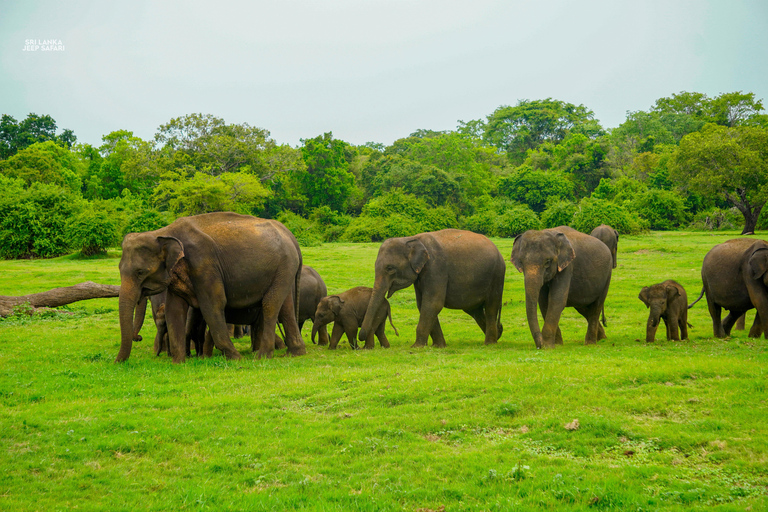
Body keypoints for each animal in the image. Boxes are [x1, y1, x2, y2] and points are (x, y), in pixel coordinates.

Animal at [115, 212, 304, 364]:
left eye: (140, 272)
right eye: (119, 269)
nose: (117, 363)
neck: (163, 232)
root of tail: (291, 236)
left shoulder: (204, 264)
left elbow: (213, 305)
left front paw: (236, 358)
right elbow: (174, 310)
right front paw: (178, 363)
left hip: (284, 265)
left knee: (270, 305)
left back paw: (262, 356)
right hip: (283, 271)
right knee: (286, 307)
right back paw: (295, 353)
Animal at [358, 229, 504, 346]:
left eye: (390, 268)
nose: (361, 337)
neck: (411, 239)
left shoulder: (436, 267)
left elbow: (432, 303)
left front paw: (416, 347)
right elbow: (422, 304)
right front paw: (439, 346)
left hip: (497, 276)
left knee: (491, 308)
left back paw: (490, 343)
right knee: (475, 310)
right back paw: (499, 333)